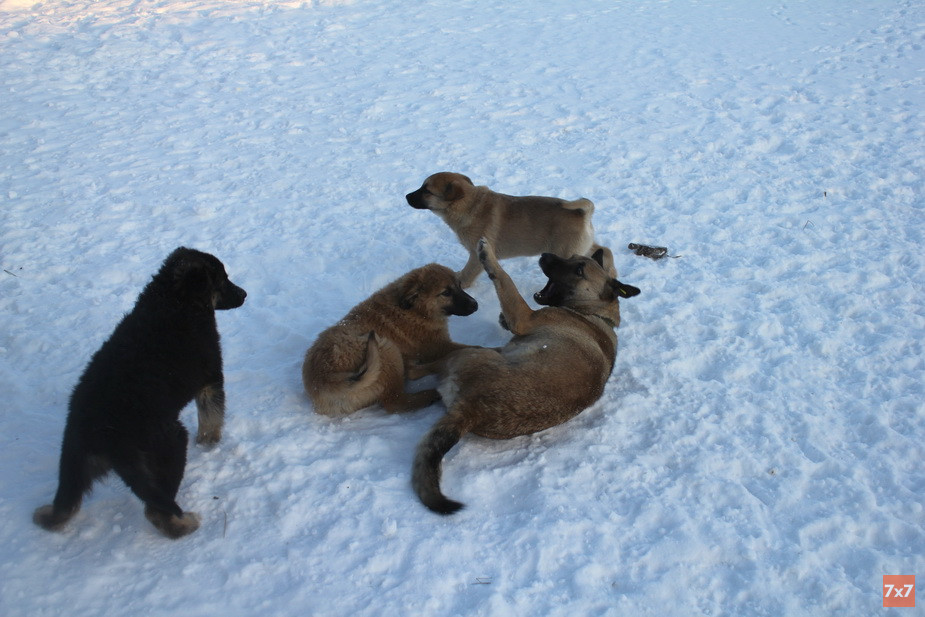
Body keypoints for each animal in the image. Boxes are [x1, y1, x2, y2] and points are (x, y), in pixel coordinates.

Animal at [33, 247, 246, 539]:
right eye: (223, 279)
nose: (244, 294)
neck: (175, 300)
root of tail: (107, 436)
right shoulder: (211, 378)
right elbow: (211, 417)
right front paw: (210, 443)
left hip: (74, 456)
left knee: (65, 504)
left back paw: (46, 516)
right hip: (169, 444)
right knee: (157, 511)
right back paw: (184, 525)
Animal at [302, 263, 478, 417]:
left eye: (459, 285)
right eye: (446, 293)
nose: (475, 305)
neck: (415, 309)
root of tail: (324, 381)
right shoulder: (438, 346)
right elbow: (473, 347)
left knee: (410, 374)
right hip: (386, 348)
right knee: (397, 400)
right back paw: (431, 393)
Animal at [406, 172, 613, 287]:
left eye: (427, 191)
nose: (406, 196)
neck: (471, 204)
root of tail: (583, 213)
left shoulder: (475, 254)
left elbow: (467, 273)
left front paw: (460, 283)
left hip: (566, 252)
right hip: (582, 246)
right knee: (604, 250)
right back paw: (611, 273)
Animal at [411, 238, 640, 514]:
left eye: (579, 270)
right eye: (572, 257)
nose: (544, 255)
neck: (594, 313)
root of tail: (470, 411)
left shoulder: (523, 317)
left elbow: (504, 278)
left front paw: (488, 256)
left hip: (469, 353)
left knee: (425, 368)